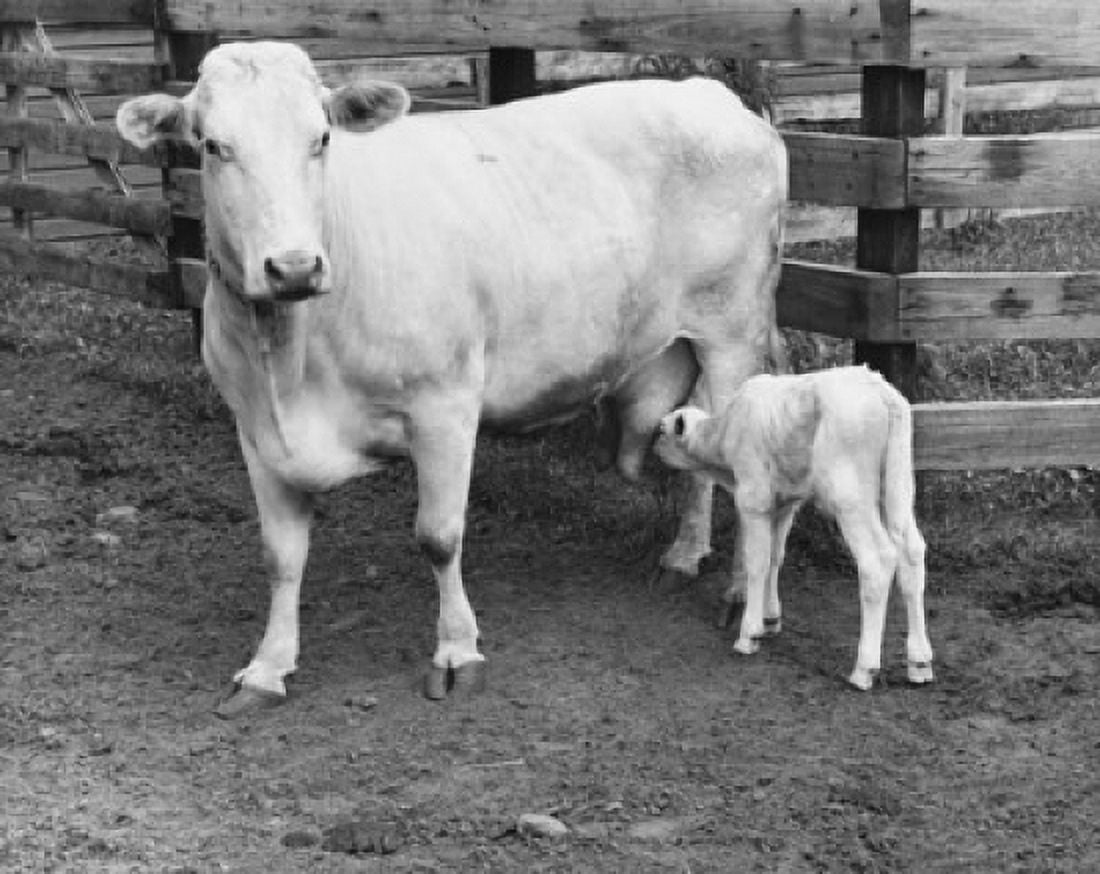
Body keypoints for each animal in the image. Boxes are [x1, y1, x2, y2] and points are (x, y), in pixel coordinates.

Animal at [115, 41, 787, 715]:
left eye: (322, 138)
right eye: (212, 145)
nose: (295, 267)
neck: (291, 360)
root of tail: (708, 94)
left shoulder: (445, 407)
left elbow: (438, 537)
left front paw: (457, 652)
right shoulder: (254, 429)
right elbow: (280, 556)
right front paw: (267, 667)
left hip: (734, 332)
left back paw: (741, 596)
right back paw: (683, 555)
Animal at [654, 365, 935, 691]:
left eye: (661, 431)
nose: (652, 447)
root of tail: (881, 390)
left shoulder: (754, 499)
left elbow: (757, 563)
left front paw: (749, 633)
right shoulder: (785, 503)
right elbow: (776, 558)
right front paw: (770, 619)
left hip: (850, 495)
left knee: (877, 561)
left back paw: (864, 669)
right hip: (897, 485)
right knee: (911, 553)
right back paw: (919, 662)